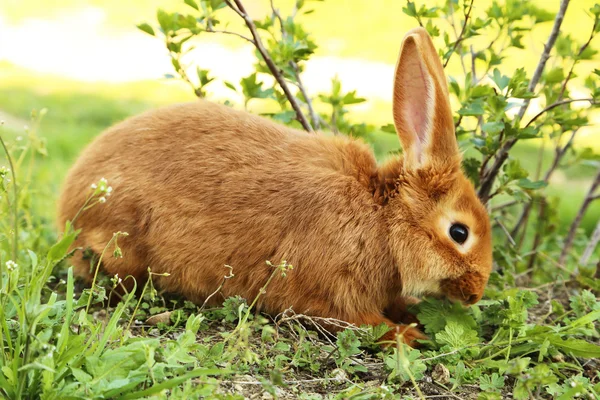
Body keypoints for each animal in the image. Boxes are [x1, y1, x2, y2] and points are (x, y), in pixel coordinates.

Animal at [57, 28, 492, 346]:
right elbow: (360, 322)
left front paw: (414, 316)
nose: (475, 293)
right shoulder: (327, 294)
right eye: (459, 233)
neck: (382, 217)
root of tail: (68, 203)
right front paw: (410, 334)